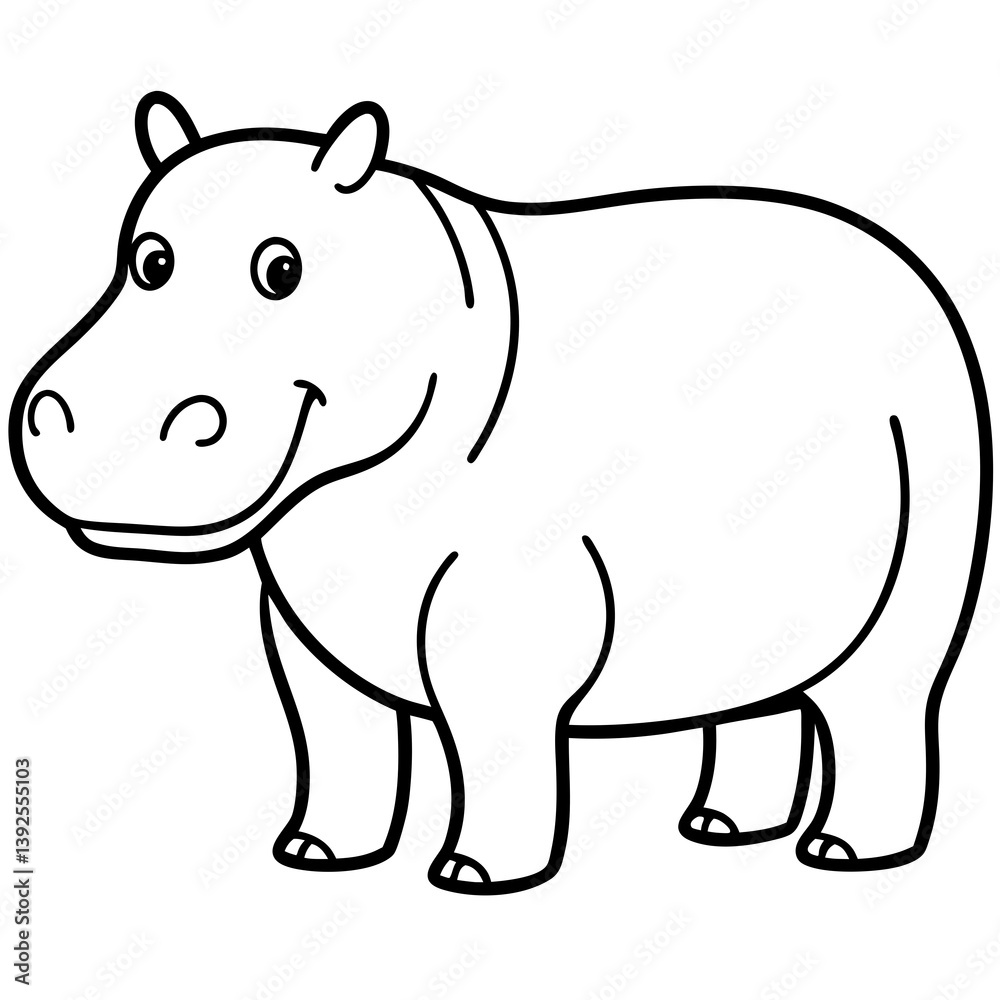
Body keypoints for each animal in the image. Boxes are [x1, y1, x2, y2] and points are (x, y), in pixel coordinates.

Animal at [9, 93, 991, 895]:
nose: (84, 418)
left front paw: (472, 875)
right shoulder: (299, 625)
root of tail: (914, 270)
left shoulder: (508, 617)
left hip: (923, 562)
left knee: (885, 695)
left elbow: (490, 741)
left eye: (282, 269)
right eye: (148, 260)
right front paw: (315, 854)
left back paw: (842, 853)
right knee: (759, 685)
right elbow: (334, 739)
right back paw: (718, 829)